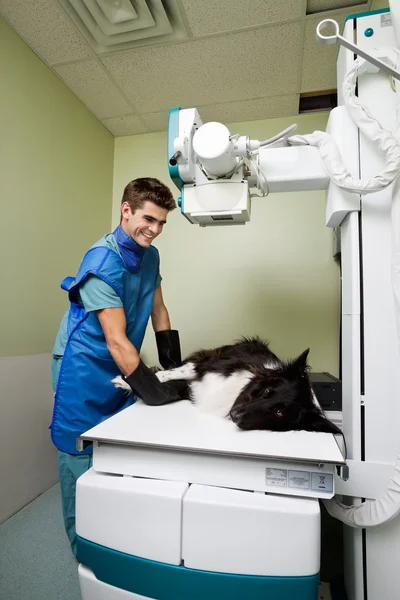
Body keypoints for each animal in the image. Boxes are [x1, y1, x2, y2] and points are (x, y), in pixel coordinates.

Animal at [112, 338, 340, 436]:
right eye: (268, 392)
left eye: (279, 412)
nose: (235, 415)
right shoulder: (204, 367)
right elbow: (164, 376)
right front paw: (124, 381)